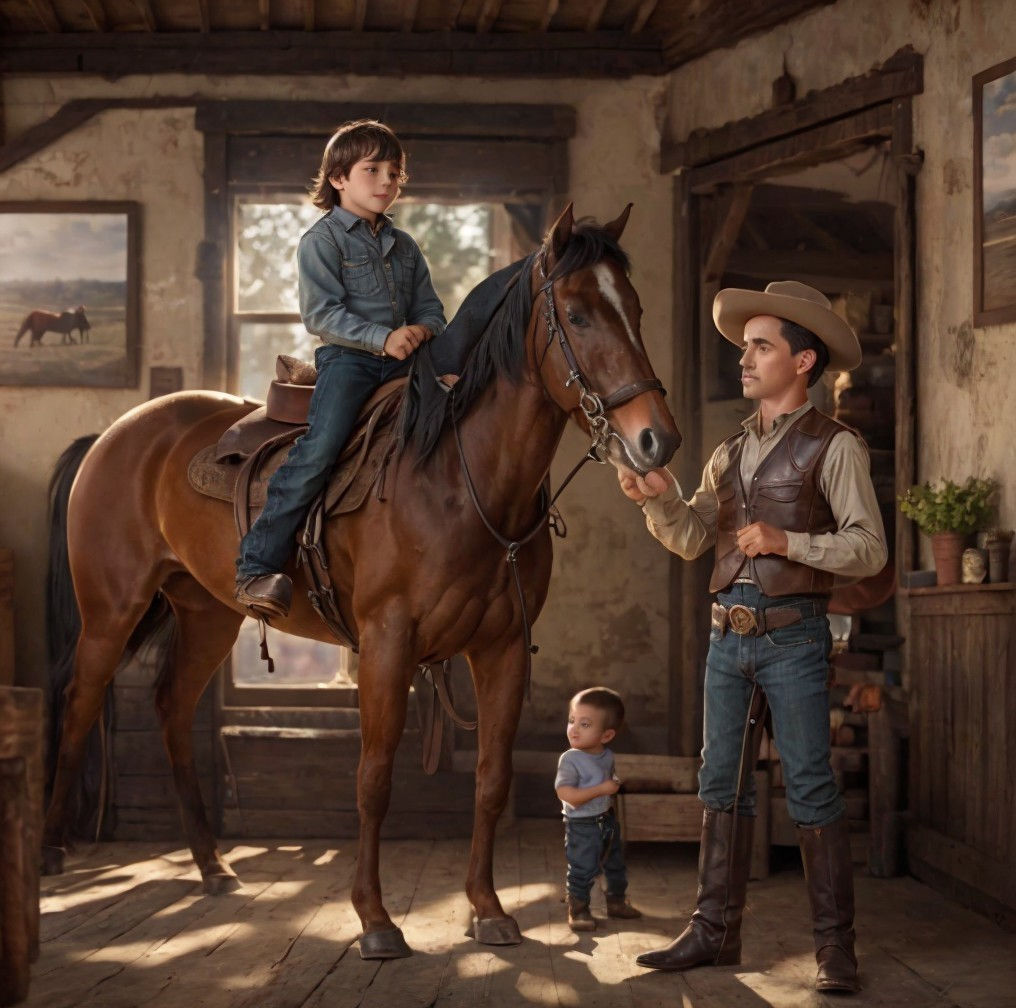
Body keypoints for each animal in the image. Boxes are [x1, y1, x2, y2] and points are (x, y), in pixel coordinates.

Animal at [41, 203, 682, 951]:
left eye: (635, 308)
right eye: (577, 314)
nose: (657, 440)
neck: (455, 476)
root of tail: (113, 435)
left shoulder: (501, 649)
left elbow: (492, 779)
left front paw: (488, 909)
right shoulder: (386, 643)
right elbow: (374, 778)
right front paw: (374, 919)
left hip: (206, 614)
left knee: (171, 707)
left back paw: (212, 867)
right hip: (111, 611)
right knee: (80, 702)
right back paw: (53, 851)